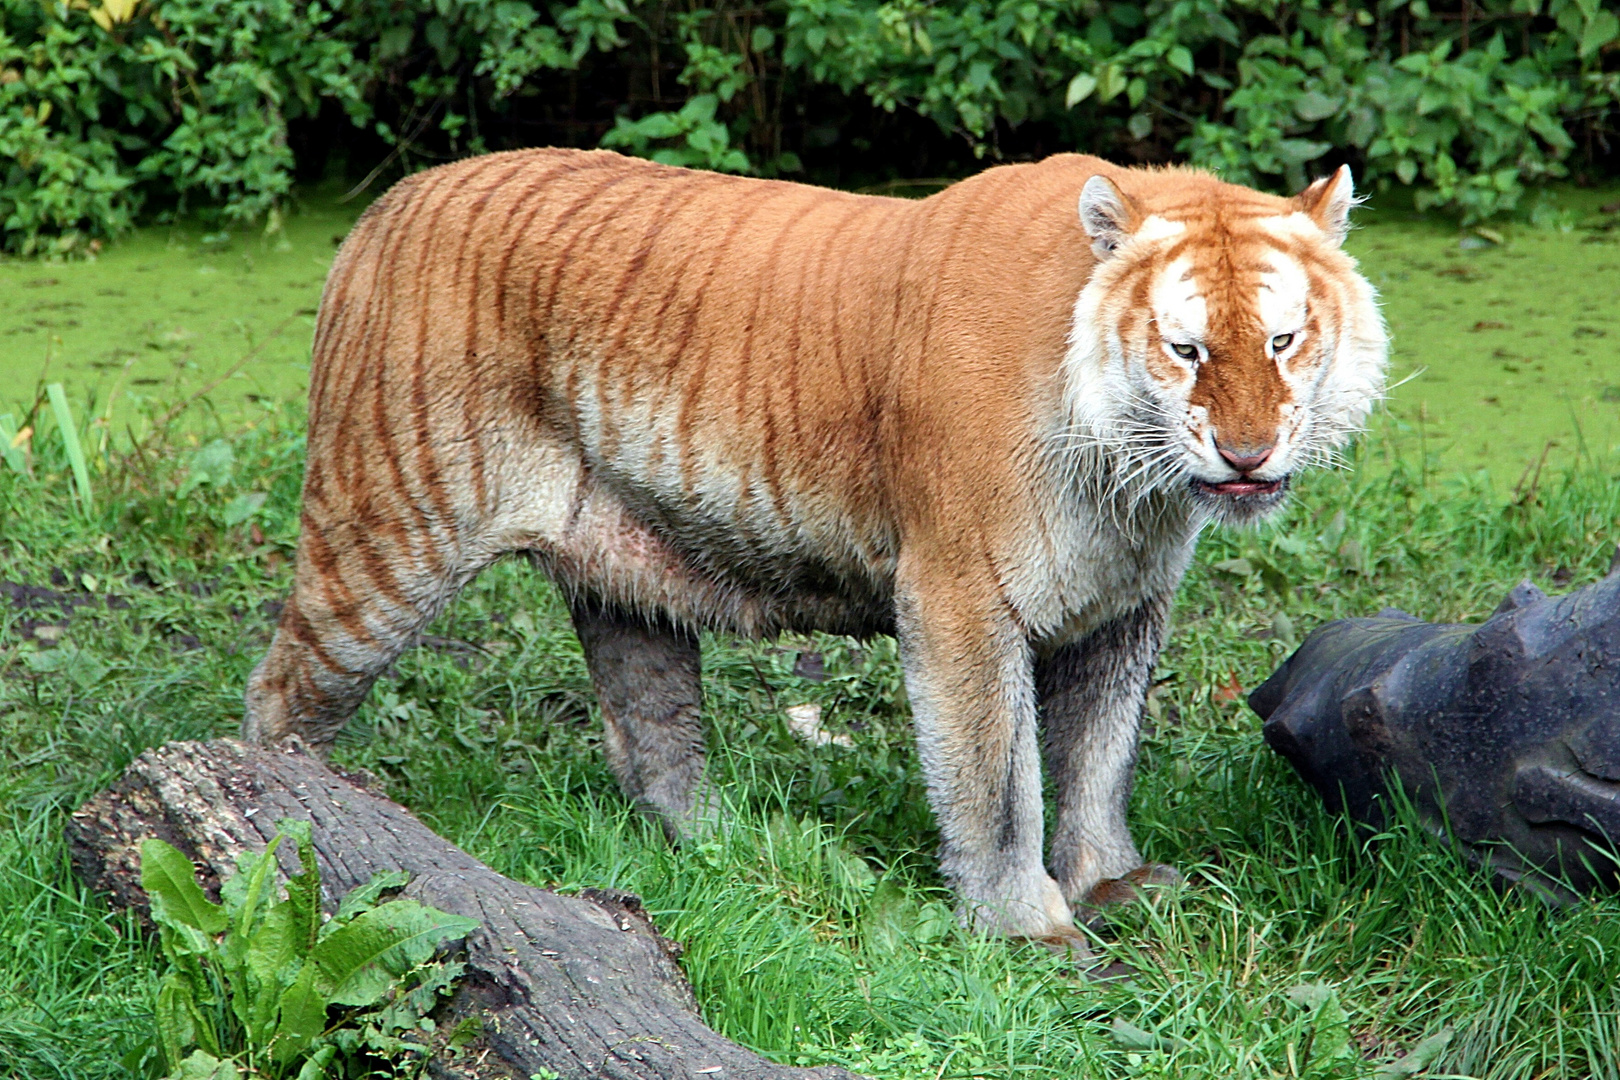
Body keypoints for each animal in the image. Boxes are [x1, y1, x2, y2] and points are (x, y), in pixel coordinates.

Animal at [246, 148, 1386, 952]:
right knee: (278, 699)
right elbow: (1000, 779)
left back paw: (740, 846)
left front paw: (1109, 885)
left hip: (625, 582)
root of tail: (386, 206)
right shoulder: (963, 598)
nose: (1246, 453)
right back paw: (301, 825)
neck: (1130, 483)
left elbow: (1101, 756)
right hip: (384, 536)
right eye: (1187, 350)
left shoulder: (1124, 605)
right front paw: (1028, 929)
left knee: (649, 738)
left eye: (1282, 341)